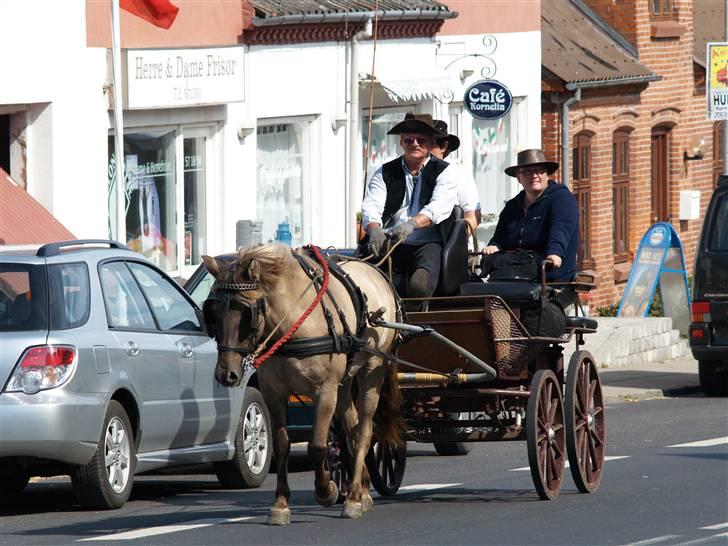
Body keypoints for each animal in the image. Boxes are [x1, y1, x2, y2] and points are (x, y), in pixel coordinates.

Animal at [202, 243, 400, 524]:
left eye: (246, 312)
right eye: (213, 311)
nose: (226, 374)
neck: (294, 324)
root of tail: (377, 271)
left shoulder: (325, 391)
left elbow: (316, 446)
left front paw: (326, 491)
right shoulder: (273, 393)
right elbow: (281, 445)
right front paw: (281, 504)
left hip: (372, 371)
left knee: (364, 431)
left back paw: (351, 497)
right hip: (345, 382)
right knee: (351, 428)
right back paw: (361, 490)